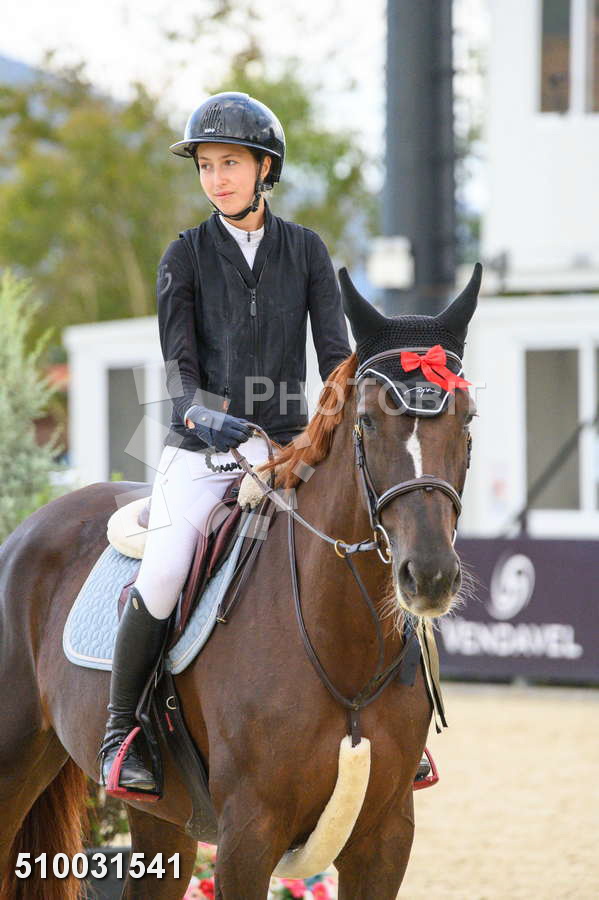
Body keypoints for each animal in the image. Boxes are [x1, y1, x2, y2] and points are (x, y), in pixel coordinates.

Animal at [0, 265, 480, 900]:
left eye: (467, 418)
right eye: (368, 421)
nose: (428, 575)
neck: (343, 649)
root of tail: (30, 528)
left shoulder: (385, 838)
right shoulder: (247, 838)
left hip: (164, 821)